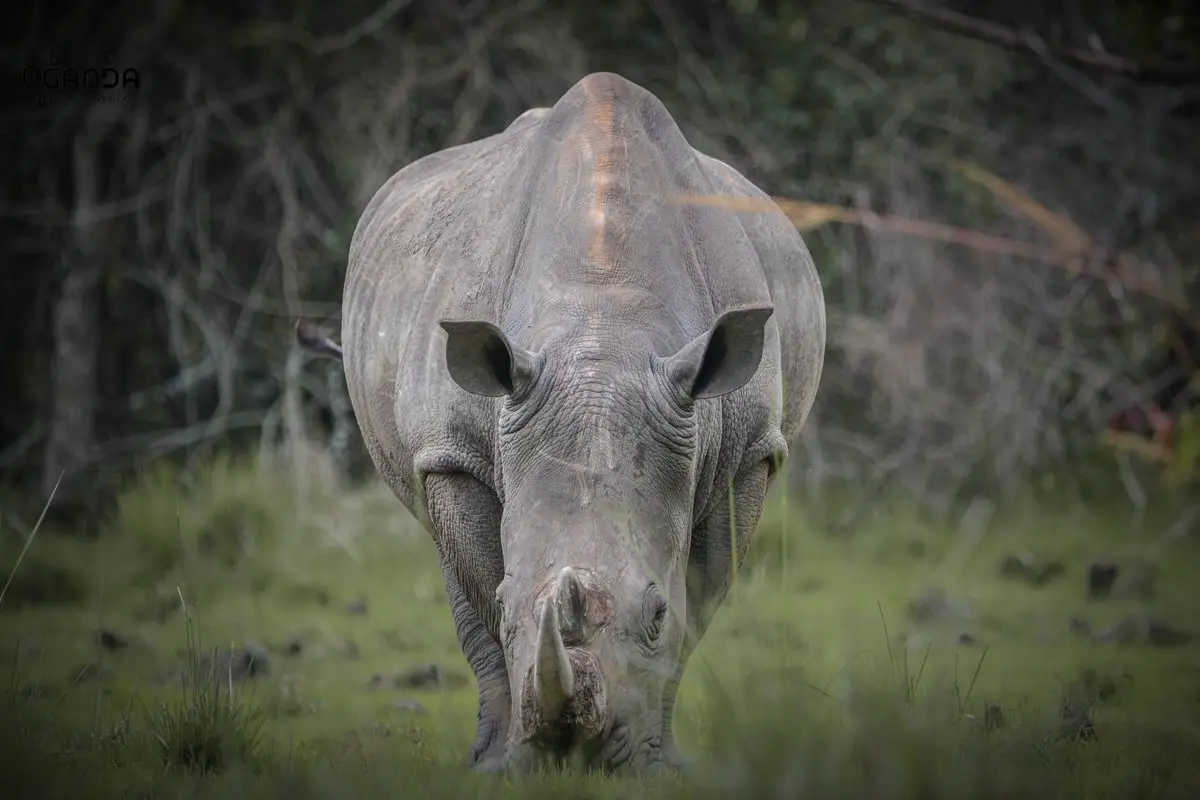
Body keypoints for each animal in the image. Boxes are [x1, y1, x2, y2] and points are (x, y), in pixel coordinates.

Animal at [298, 72, 825, 774]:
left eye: (655, 615)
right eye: (508, 606)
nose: (575, 753)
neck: (602, 326)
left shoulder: (748, 453)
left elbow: (699, 602)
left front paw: (656, 765)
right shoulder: (453, 452)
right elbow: (479, 592)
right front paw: (505, 768)